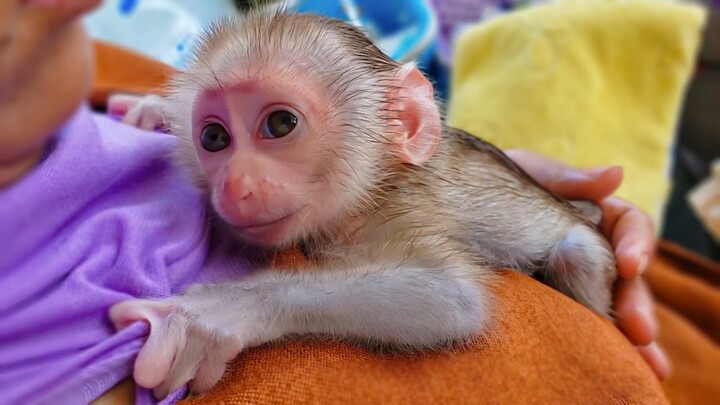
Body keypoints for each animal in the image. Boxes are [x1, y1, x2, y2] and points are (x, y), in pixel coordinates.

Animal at [109, 8, 616, 398]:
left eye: (280, 124)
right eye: (214, 137)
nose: (236, 186)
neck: (377, 180)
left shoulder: (396, 208)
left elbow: (450, 298)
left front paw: (214, 312)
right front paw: (152, 112)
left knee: (576, 256)